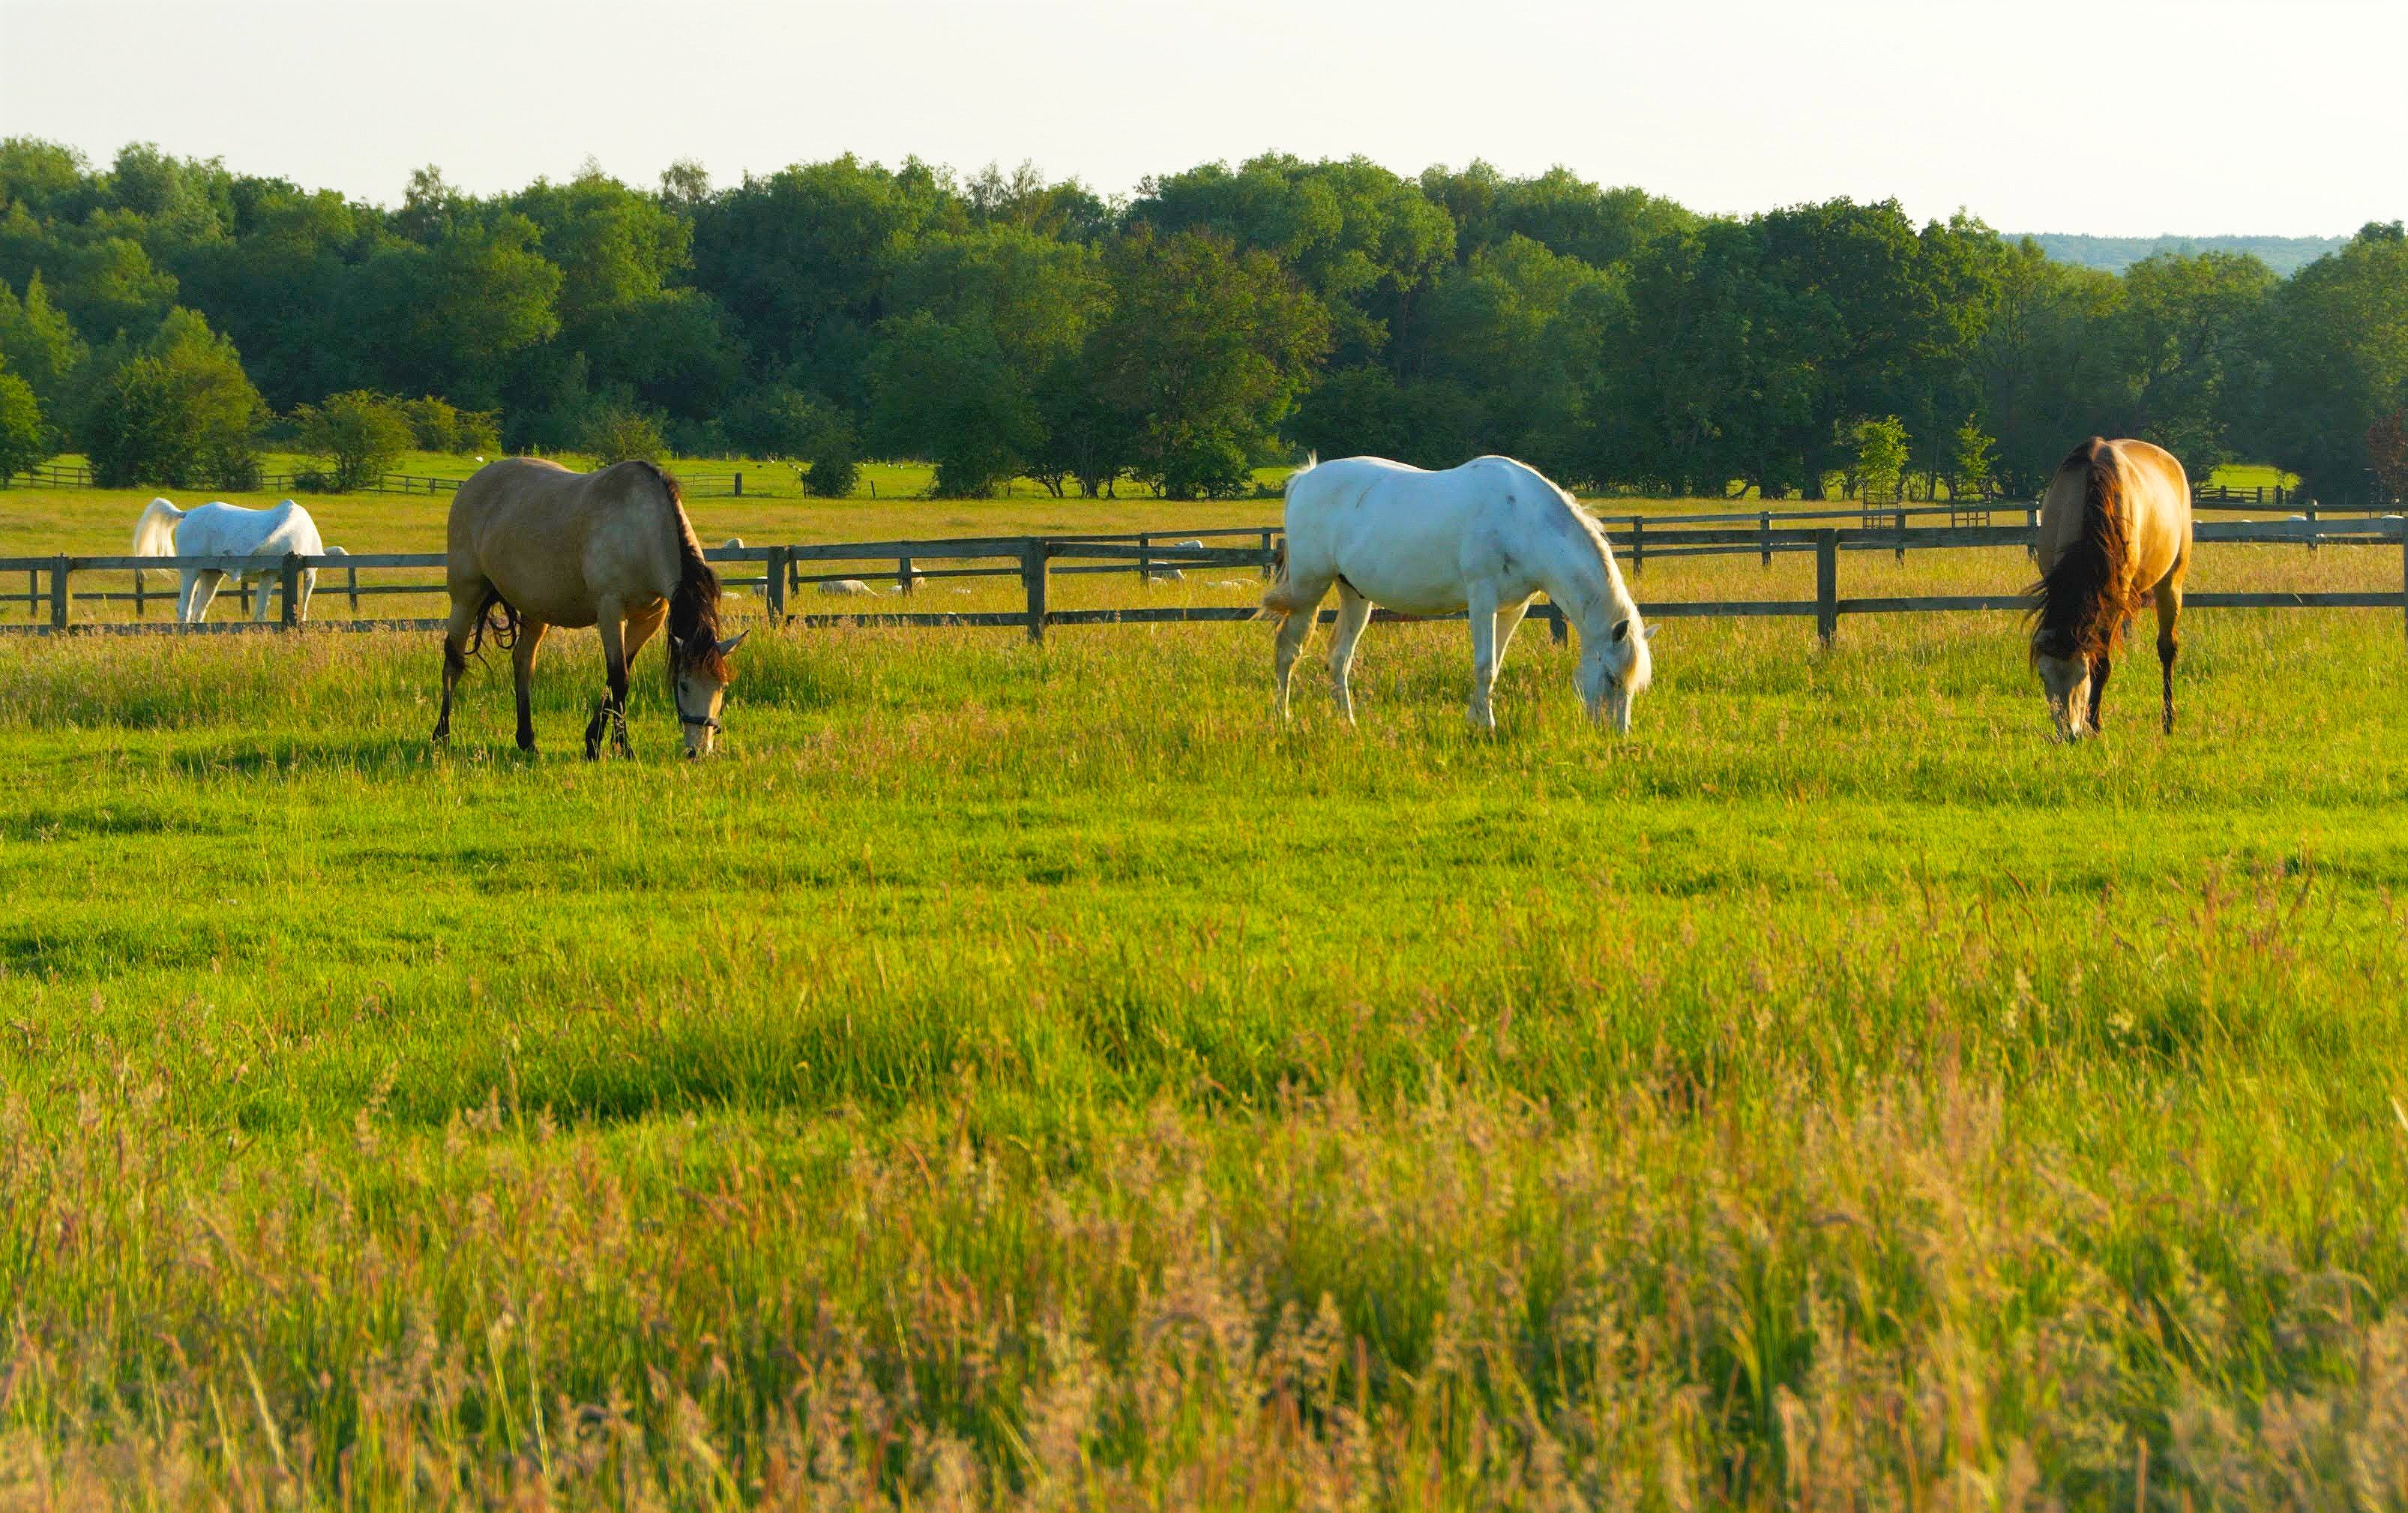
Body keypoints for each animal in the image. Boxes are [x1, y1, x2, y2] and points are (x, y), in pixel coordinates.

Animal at [129, 499, 344, 622]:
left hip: (211, 576)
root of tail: (187, 514)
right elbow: (260, 614)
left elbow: (302, 609)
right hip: (191, 573)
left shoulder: (305, 576)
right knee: (184, 609)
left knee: (199, 609)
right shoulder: (271, 577)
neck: (296, 532)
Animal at [433, 453, 746, 751]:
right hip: (465, 597)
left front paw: (593, 741)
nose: (698, 750)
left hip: (535, 608)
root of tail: (471, 485)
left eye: (722, 687)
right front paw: (622, 747)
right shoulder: (610, 610)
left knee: (523, 662)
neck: (640, 527)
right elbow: (619, 679)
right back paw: (441, 736)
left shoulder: (649, 618)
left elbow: (618, 675)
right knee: (453, 663)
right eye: (683, 685)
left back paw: (527, 740)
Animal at [1262, 453, 1656, 727]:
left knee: (1339, 659)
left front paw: (1475, 719)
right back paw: (1283, 719)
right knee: (1288, 651)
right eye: (1611, 678)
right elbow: (1484, 666)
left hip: (1356, 597)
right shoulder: (1481, 599)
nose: (1616, 735)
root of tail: (1306, 478)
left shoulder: (1513, 609)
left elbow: (1495, 663)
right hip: (1308, 589)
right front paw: (1486, 726)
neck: (1525, 521)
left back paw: (1350, 723)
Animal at [2032, 433, 2186, 742]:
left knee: (2167, 649)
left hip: (2172, 582)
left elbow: (2102, 663)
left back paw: (2168, 721)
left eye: (2082, 676)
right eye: (2044, 676)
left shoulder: (2115, 598)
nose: (2068, 734)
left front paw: (2095, 725)